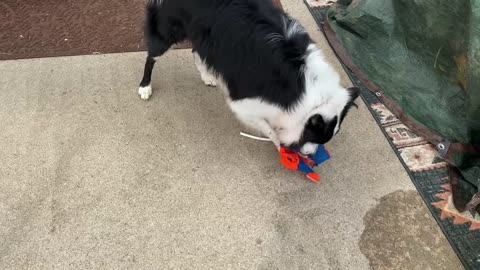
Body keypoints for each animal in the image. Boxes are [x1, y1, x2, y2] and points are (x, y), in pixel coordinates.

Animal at [137, 0, 358, 154]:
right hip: (167, 31)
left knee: (196, 51)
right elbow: (266, 126)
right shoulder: (243, 103)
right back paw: (145, 87)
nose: (310, 156)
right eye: (314, 135)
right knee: (151, 57)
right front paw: (278, 143)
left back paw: (207, 75)